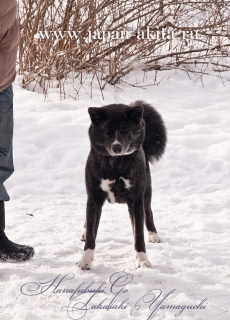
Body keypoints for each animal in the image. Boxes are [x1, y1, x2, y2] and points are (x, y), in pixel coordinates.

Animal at [77, 101, 167, 268]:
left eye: (125, 130)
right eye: (107, 132)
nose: (117, 147)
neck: (115, 167)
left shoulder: (136, 201)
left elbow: (138, 236)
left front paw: (142, 260)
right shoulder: (94, 198)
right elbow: (92, 234)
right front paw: (85, 260)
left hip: (147, 192)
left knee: (148, 212)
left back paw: (153, 234)